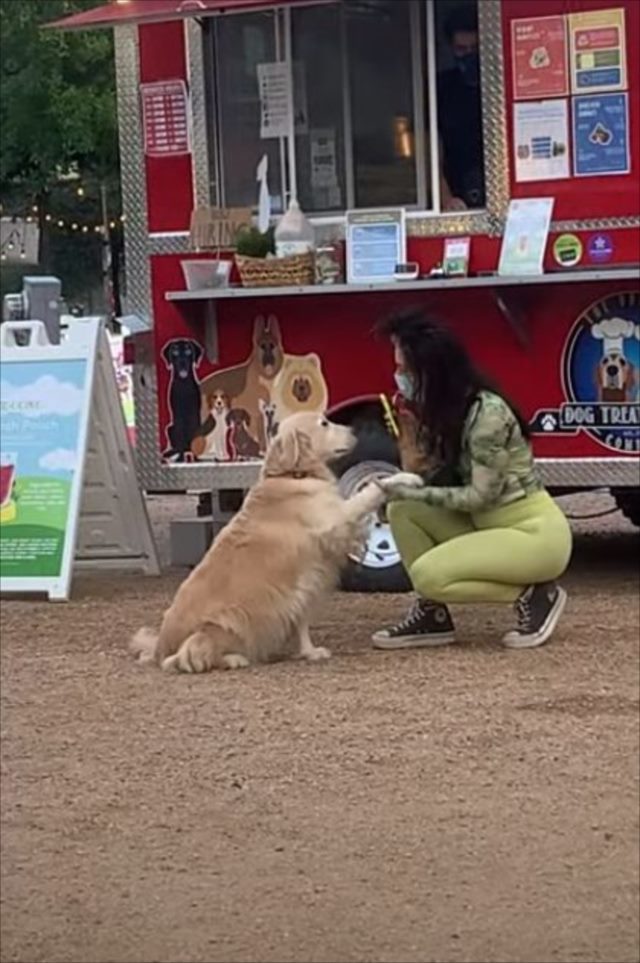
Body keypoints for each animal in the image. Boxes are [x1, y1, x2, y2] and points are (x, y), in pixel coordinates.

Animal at [127, 410, 382, 676]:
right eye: (324, 423)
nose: (354, 430)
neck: (293, 475)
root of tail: (159, 650)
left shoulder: (302, 586)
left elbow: (301, 624)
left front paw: (309, 652)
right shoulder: (335, 521)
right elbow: (363, 498)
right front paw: (388, 483)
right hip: (226, 622)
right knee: (190, 658)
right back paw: (233, 659)